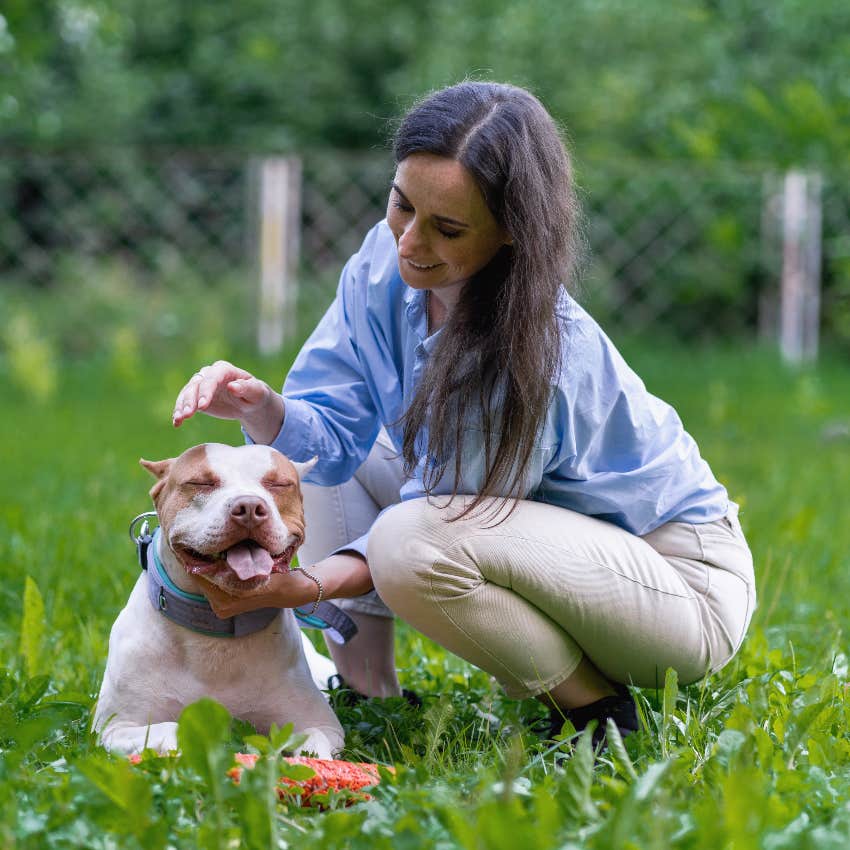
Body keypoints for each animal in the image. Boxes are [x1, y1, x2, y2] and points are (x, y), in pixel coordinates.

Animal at [93, 444, 344, 756]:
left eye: (279, 484)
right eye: (201, 482)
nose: (249, 508)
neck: (215, 638)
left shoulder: (326, 727)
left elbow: (313, 739)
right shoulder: (116, 728)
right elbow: (168, 729)